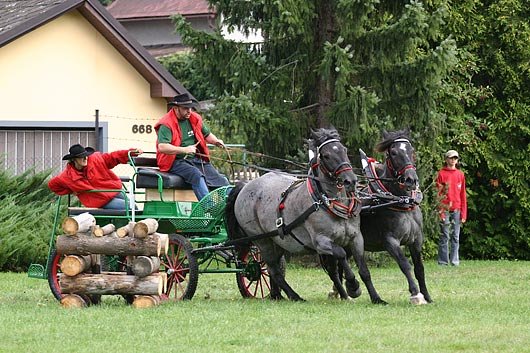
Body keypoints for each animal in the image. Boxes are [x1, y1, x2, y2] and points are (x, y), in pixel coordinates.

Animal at [223, 128, 380, 302]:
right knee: (273, 270)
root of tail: (245, 186)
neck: (327, 202)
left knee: (272, 270)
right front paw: (353, 286)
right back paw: (294, 296)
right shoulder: (321, 242)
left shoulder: (356, 238)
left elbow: (364, 271)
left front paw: (376, 298)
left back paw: (277, 295)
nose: (350, 180)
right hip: (262, 241)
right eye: (326, 155)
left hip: (278, 242)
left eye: (344, 150)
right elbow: (341, 254)